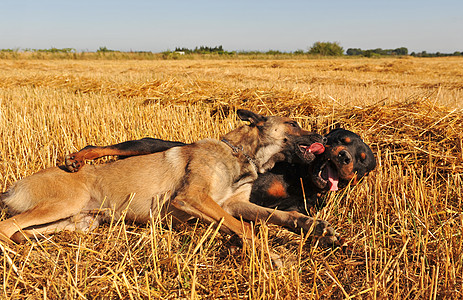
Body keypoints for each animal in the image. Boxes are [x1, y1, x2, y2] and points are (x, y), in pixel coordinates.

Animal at [0, 110, 340, 264]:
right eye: (293, 124)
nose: (323, 139)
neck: (239, 155)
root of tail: (12, 187)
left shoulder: (234, 203)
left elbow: (276, 216)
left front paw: (314, 227)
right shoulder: (193, 197)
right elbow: (243, 227)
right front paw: (268, 255)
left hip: (77, 222)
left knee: (21, 231)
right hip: (63, 204)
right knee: (7, 228)